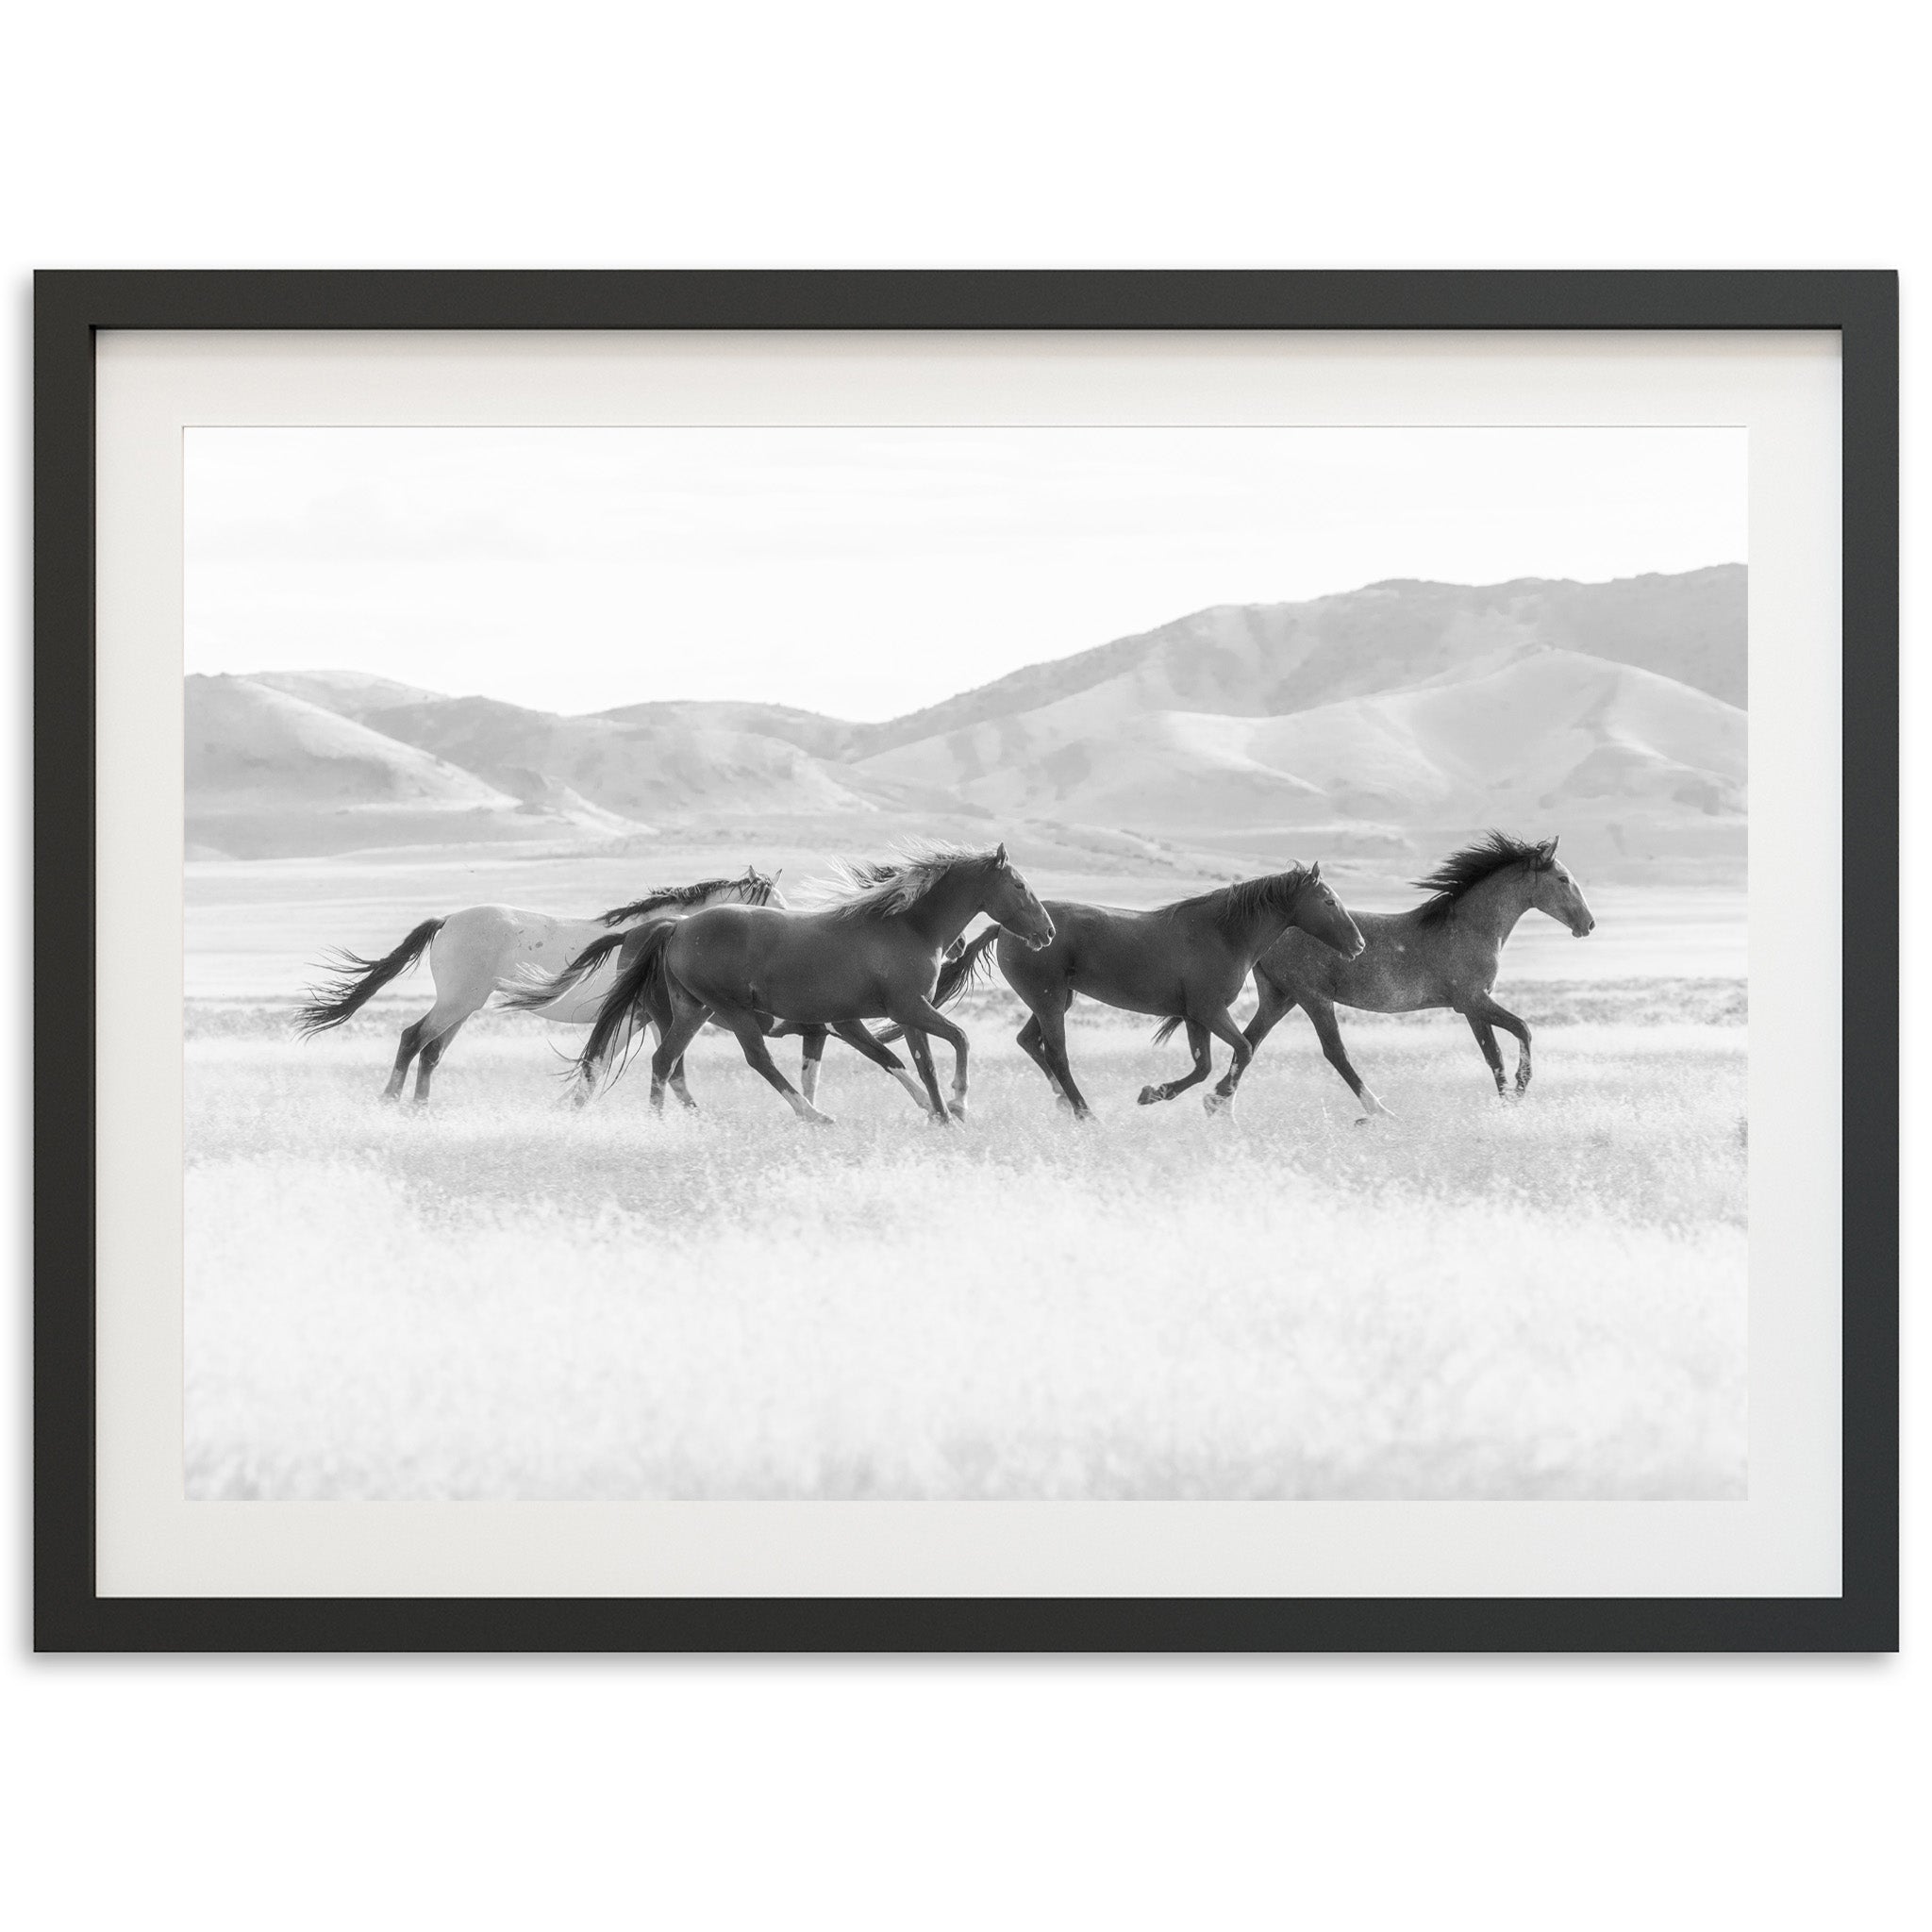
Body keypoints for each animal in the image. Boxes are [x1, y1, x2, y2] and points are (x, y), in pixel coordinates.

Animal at [293, 865, 776, 1105]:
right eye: (773, 903)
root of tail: (447, 920)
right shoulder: (638, 1017)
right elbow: (614, 1064)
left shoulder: (647, 1018)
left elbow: (658, 1068)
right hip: (457, 1002)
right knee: (413, 1038)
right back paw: (391, 1102)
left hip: (464, 1007)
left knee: (431, 1051)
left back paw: (419, 1110)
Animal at [559, 841, 1058, 1128]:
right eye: (1019, 885)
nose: (1048, 933)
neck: (908, 927)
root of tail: (676, 927)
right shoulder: (909, 1009)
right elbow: (958, 1041)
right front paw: (957, 1106)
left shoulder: (888, 1016)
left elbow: (914, 1063)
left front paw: (939, 1115)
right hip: (730, 1012)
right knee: (755, 1060)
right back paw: (813, 1114)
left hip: (691, 1011)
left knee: (665, 1062)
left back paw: (658, 1123)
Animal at [1236, 830, 1599, 1120]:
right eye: (1563, 879)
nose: (1589, 924)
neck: (1472, 928)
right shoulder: (1473, 1000)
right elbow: (1523, 1029)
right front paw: (1520, 1091)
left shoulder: (1472, 1007)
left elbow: (1493, 1055)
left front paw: (1505, 1104)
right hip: (1313, 998)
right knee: (1335, 1053)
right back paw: (1379, 1113)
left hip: (1280, 998)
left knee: (1249, 1043)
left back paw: (1223, 1109)